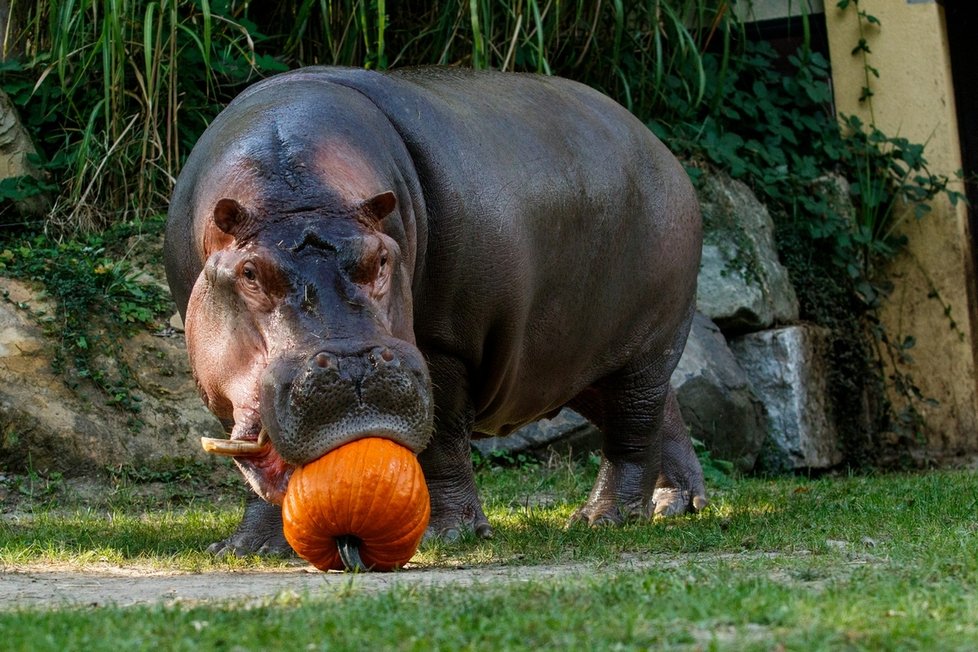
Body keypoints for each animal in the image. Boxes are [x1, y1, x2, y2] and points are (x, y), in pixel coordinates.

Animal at [166, 66, 700, 556]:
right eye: (250, 273)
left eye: (382, 258)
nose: (352, 368)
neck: (298, 192)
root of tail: (659, 148)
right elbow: (252, 454)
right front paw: (247, 549)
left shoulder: (446, 344)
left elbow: (443, 437)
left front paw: (450, 535)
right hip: (574, 364)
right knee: (659, 409)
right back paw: (677, 505)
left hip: (645, 346)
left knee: (633, 424)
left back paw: (604, 518)